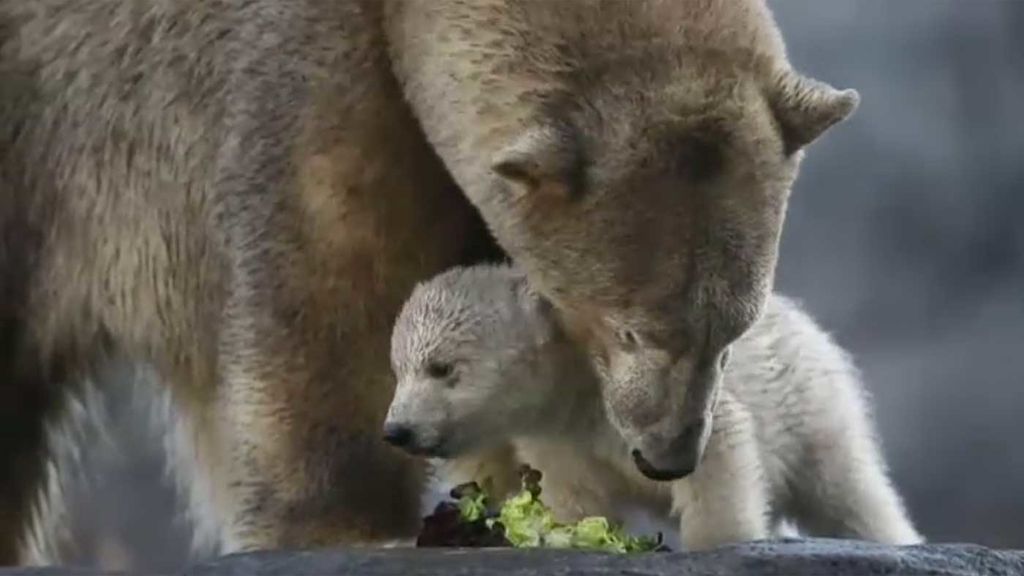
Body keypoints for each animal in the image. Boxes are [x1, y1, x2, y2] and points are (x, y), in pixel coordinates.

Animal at [0, 0, 856, 561]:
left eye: (733, 328)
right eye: (631, 327)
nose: (669, 456)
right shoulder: (301, 77)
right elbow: (331, 307)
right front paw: (350, 525)